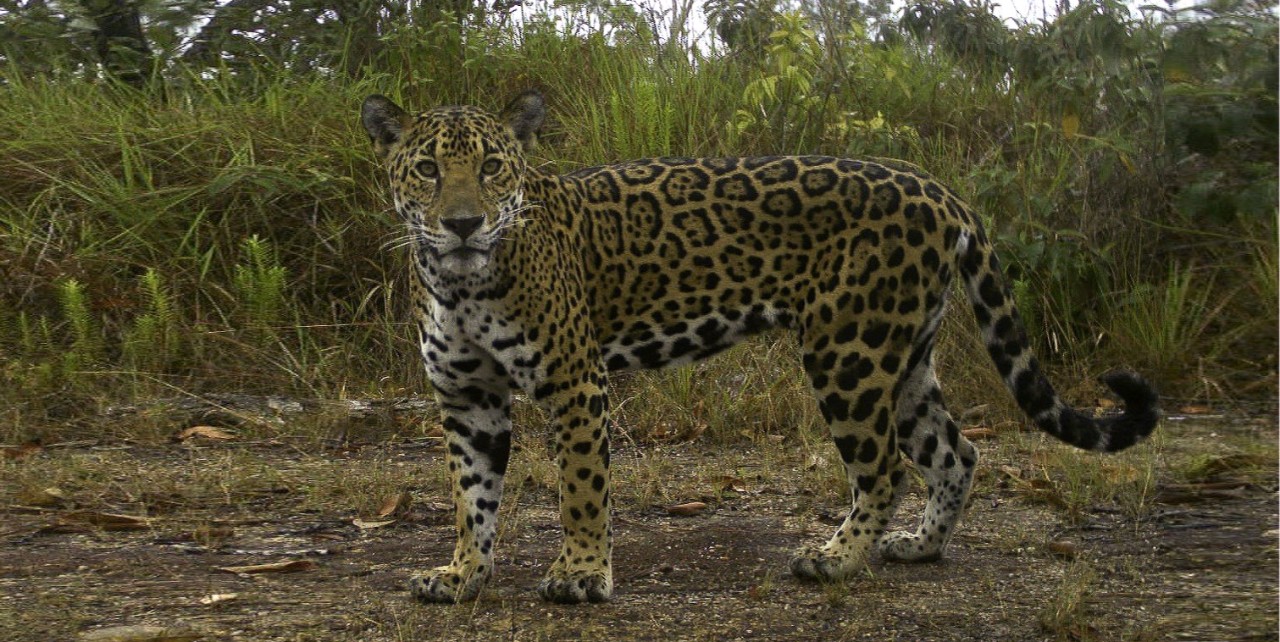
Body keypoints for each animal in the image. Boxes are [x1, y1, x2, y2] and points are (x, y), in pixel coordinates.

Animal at [359, 90, 1160, 605]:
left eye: (493, 167)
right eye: (427, 170)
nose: (463, 223)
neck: (459, 282)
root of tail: (938, 188)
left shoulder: (575, 382)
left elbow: (581, 488)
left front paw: (582, 574)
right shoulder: (469, 399)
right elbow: (471, 498)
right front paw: (461, 576)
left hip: (848, 351)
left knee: (885, 468)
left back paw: (836, 560)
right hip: (904, 358)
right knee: (955, 452)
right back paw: (919, 547)